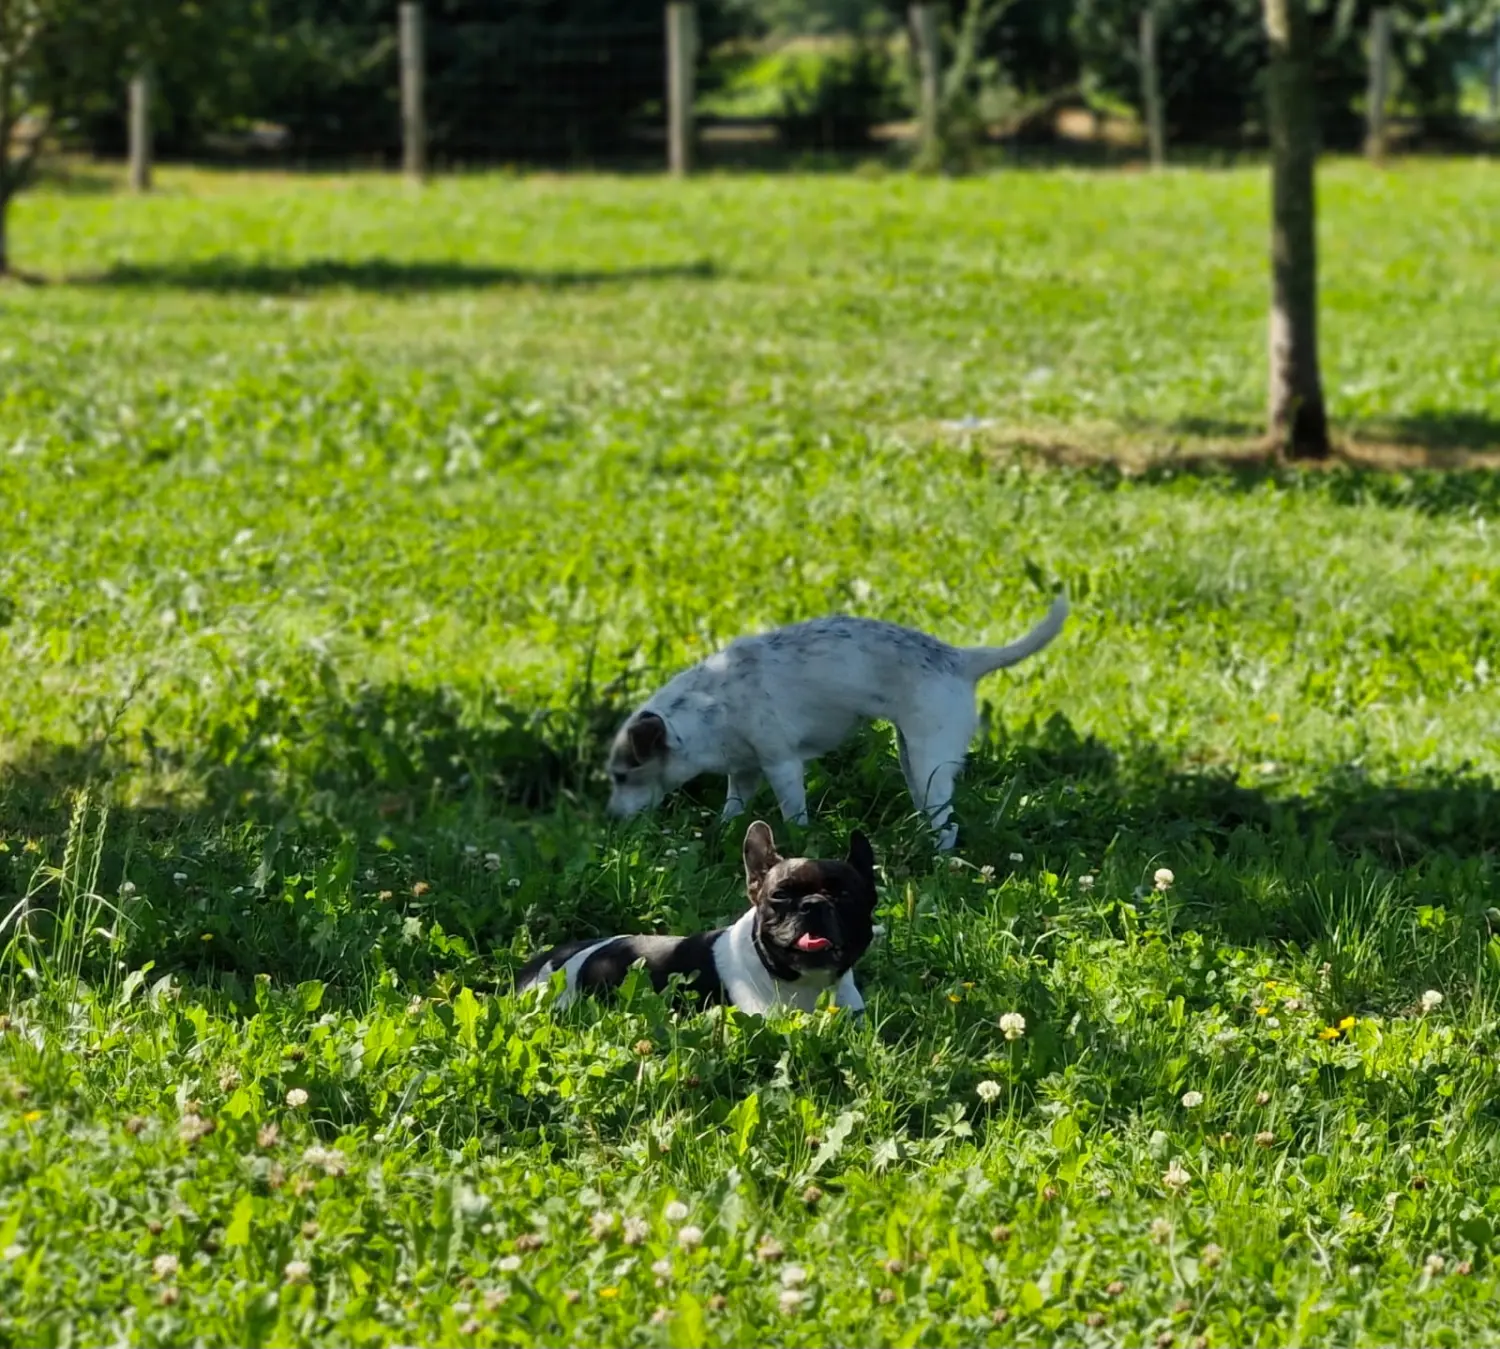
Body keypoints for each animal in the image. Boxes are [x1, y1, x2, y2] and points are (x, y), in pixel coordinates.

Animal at [600, 597, 1068, 852]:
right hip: (913, 762)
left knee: (948, 826)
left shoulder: (782, 766)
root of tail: (961, 659)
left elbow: (794, 816)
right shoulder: (745, 771)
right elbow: (733, 810)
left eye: (623, 777)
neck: (708, 707)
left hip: (930, 763)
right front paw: (723, 832)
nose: (610, 820)